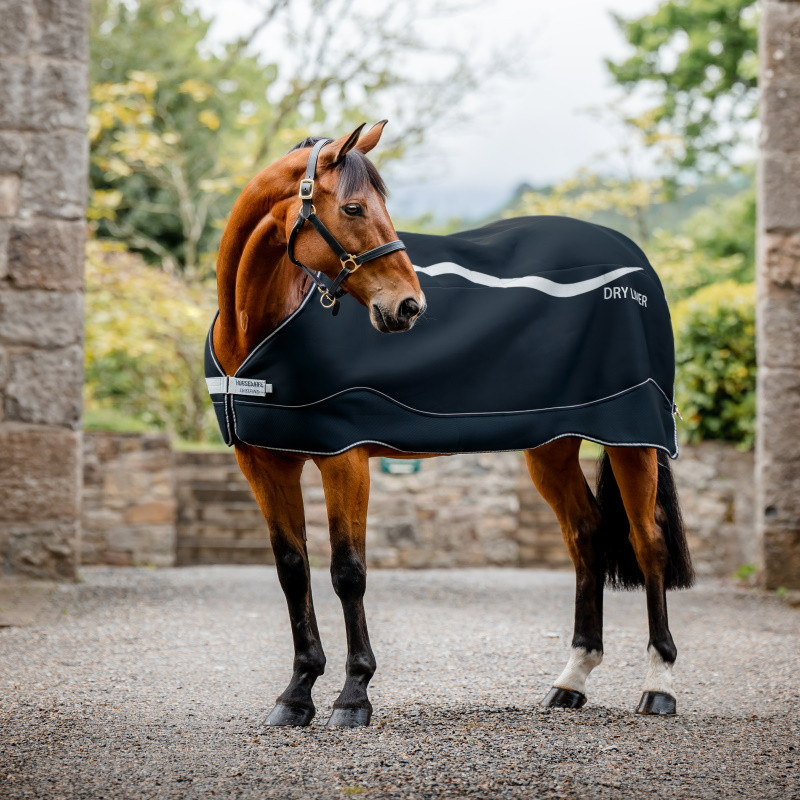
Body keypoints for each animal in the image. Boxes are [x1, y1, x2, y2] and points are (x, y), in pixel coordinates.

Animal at [210, 121, 694, 727]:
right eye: (352, 207)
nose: (409, 306)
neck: (256, 330)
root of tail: (633, 258)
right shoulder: (263, 463)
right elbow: (292, 570)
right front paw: (296, 695)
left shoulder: (344, 458)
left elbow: (348, 572)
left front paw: (354, 696)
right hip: (552, 445)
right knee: (587, 534)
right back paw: (571, 681)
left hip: (633, 437)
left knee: (647, 542)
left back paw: (660, 685)